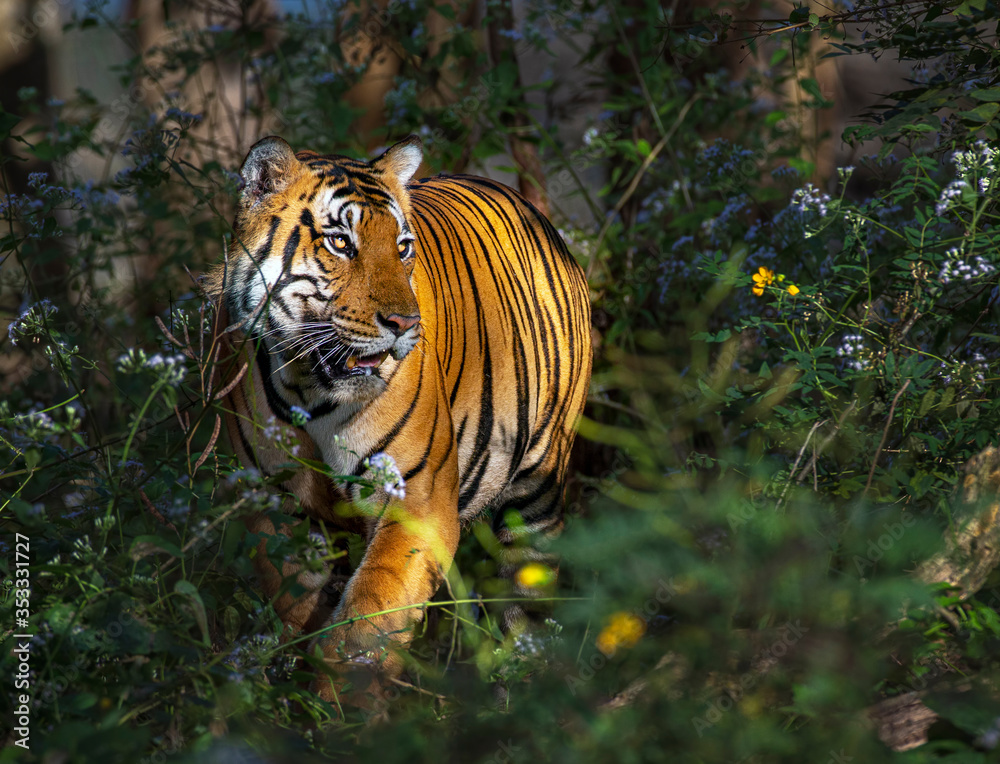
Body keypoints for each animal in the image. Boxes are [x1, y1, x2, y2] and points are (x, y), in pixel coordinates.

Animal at [205, 135, 592, 701]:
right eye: (340, 243)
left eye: (403, 247)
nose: (405, 323)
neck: (310, 387)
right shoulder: (274, 504)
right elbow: (300, 603)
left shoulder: (418, 501)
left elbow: (369, 619)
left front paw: (342, 704)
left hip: (537, 488)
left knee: (528, 592)